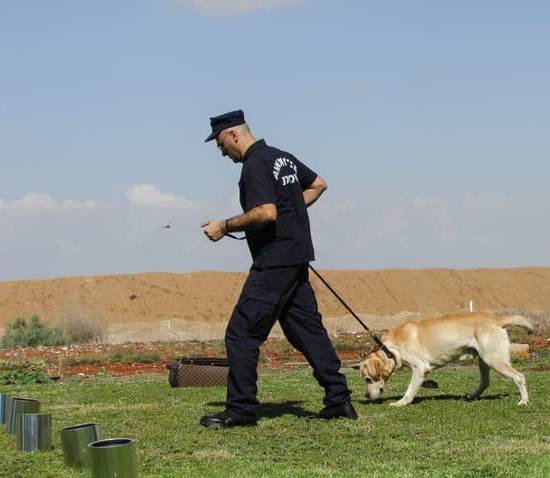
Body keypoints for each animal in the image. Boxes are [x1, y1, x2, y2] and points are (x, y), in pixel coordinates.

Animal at [360, 314, 532, 408]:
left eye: (368, 379)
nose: (366, 396)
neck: (390, 349)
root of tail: (496, 319)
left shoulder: (419, 367)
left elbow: (409, 391)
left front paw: (401, 402)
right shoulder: (421, 371)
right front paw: (430, 384)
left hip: (494, 359)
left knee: (520, 377)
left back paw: (524, 401)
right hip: (484, 359)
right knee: (485, 382)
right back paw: (472, 396)